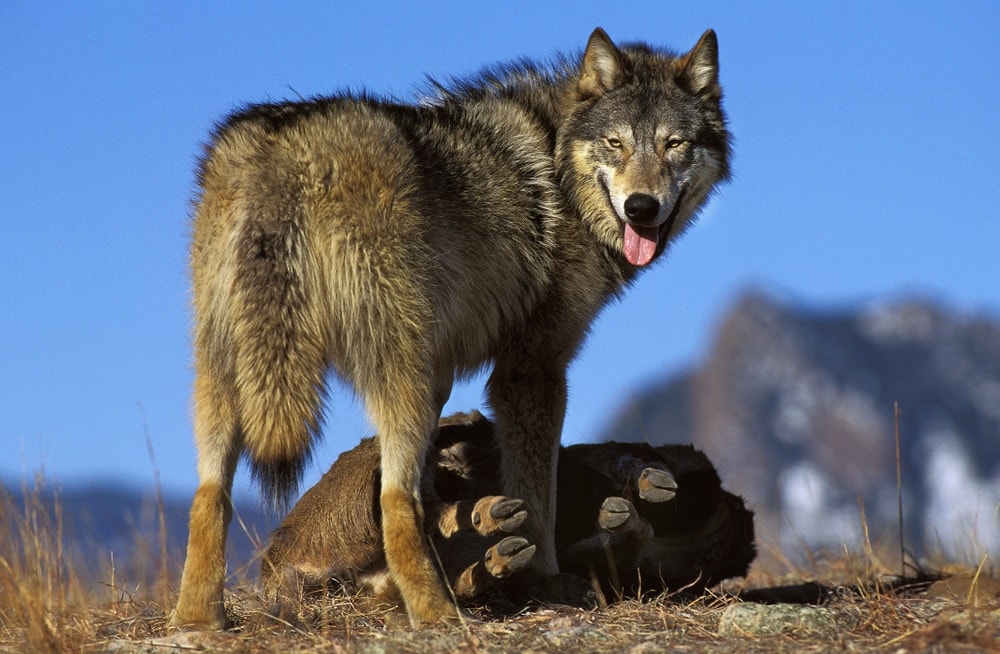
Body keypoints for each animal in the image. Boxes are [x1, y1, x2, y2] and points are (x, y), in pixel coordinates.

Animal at [172, 27, 731, 629]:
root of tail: (286, 147)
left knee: (211, 492)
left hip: (228, 369)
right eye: (615, 143)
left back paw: (198, 618)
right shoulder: (531, 368)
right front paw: (545, 580)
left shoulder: (469, 371)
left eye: (674, 145)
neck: (558, 165)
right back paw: (438, 610)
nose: (641, 207)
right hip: (406, 371)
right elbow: (539, 492)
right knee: (395, 499)